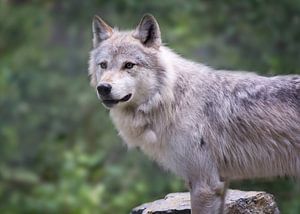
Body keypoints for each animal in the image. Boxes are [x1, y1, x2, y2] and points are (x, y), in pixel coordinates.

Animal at [88, 13, 298, 214]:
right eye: (103, 65)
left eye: (129, 65)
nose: (103, 88)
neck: (172, 100)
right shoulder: (219, 183)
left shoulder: (205, 184)